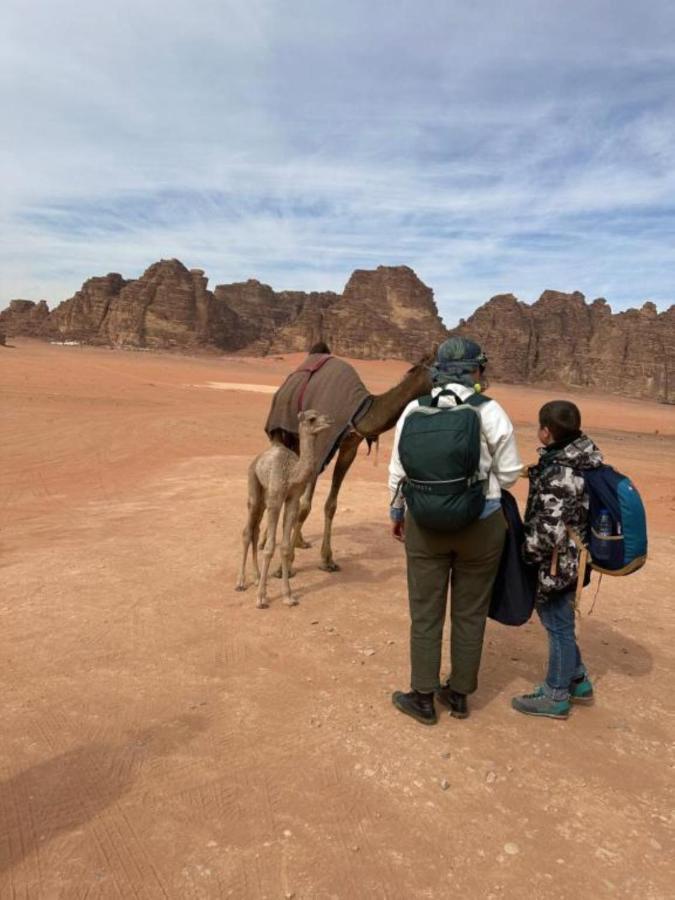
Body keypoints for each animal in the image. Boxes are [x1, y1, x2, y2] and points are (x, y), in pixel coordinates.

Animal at [236, 410, 334, 608]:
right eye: (312, 419)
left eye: (321, 414)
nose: (329, 420)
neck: (292, 474)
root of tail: (258, 459)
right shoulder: (275, 500)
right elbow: (269, 548)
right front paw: (261, 598)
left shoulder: (292, 500)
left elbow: (286, 547)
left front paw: (288, 596)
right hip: (254, 487)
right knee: (247, 531)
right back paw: (241, 582)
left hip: (264, 497)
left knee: (255, 530)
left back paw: (257, 577)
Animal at [264, 350, 434, 568]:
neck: (358, 412)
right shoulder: (321, 446)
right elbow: (304, 507)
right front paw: (285, 566)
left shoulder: (349, 447)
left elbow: (331, 505)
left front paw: (327, 559)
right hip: (282, 433)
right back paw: (264, 541)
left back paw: (300, 541)